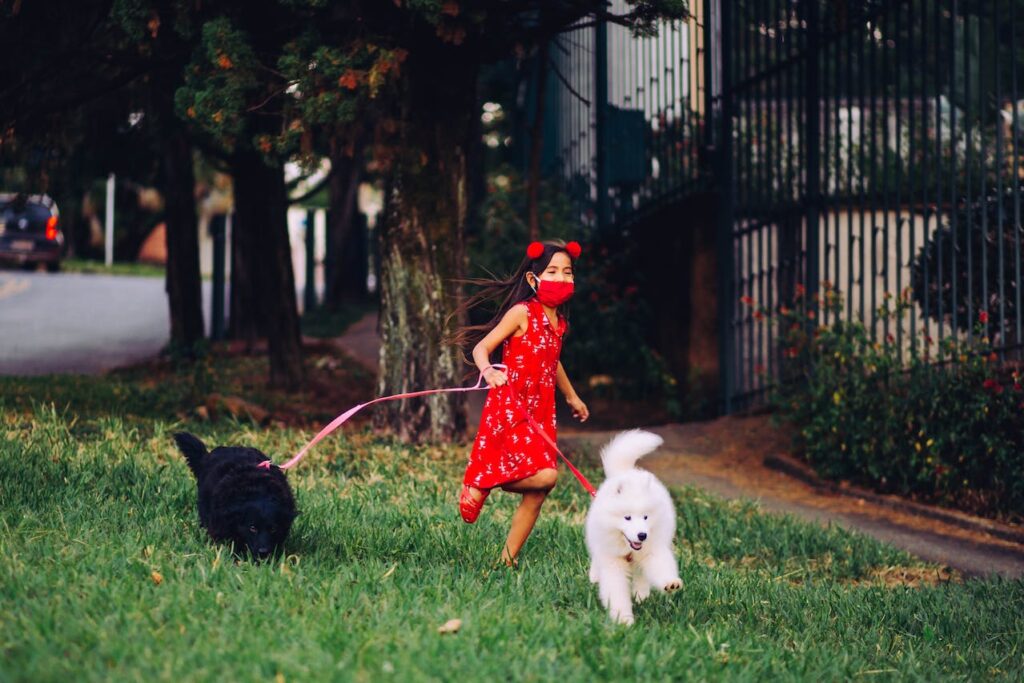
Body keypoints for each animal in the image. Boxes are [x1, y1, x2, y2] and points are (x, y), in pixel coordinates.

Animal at [585, 430, 679, 626]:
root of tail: (627, 472)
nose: (642, 535)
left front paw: (670, 584)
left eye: (646, 517)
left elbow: (661, 567)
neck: (627, 548)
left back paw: (641, 594)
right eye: (627, 517)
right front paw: (623, 619)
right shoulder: (612, 561)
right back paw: (595, 576)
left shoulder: (653, 550)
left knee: (641, 573)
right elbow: (616, 591)